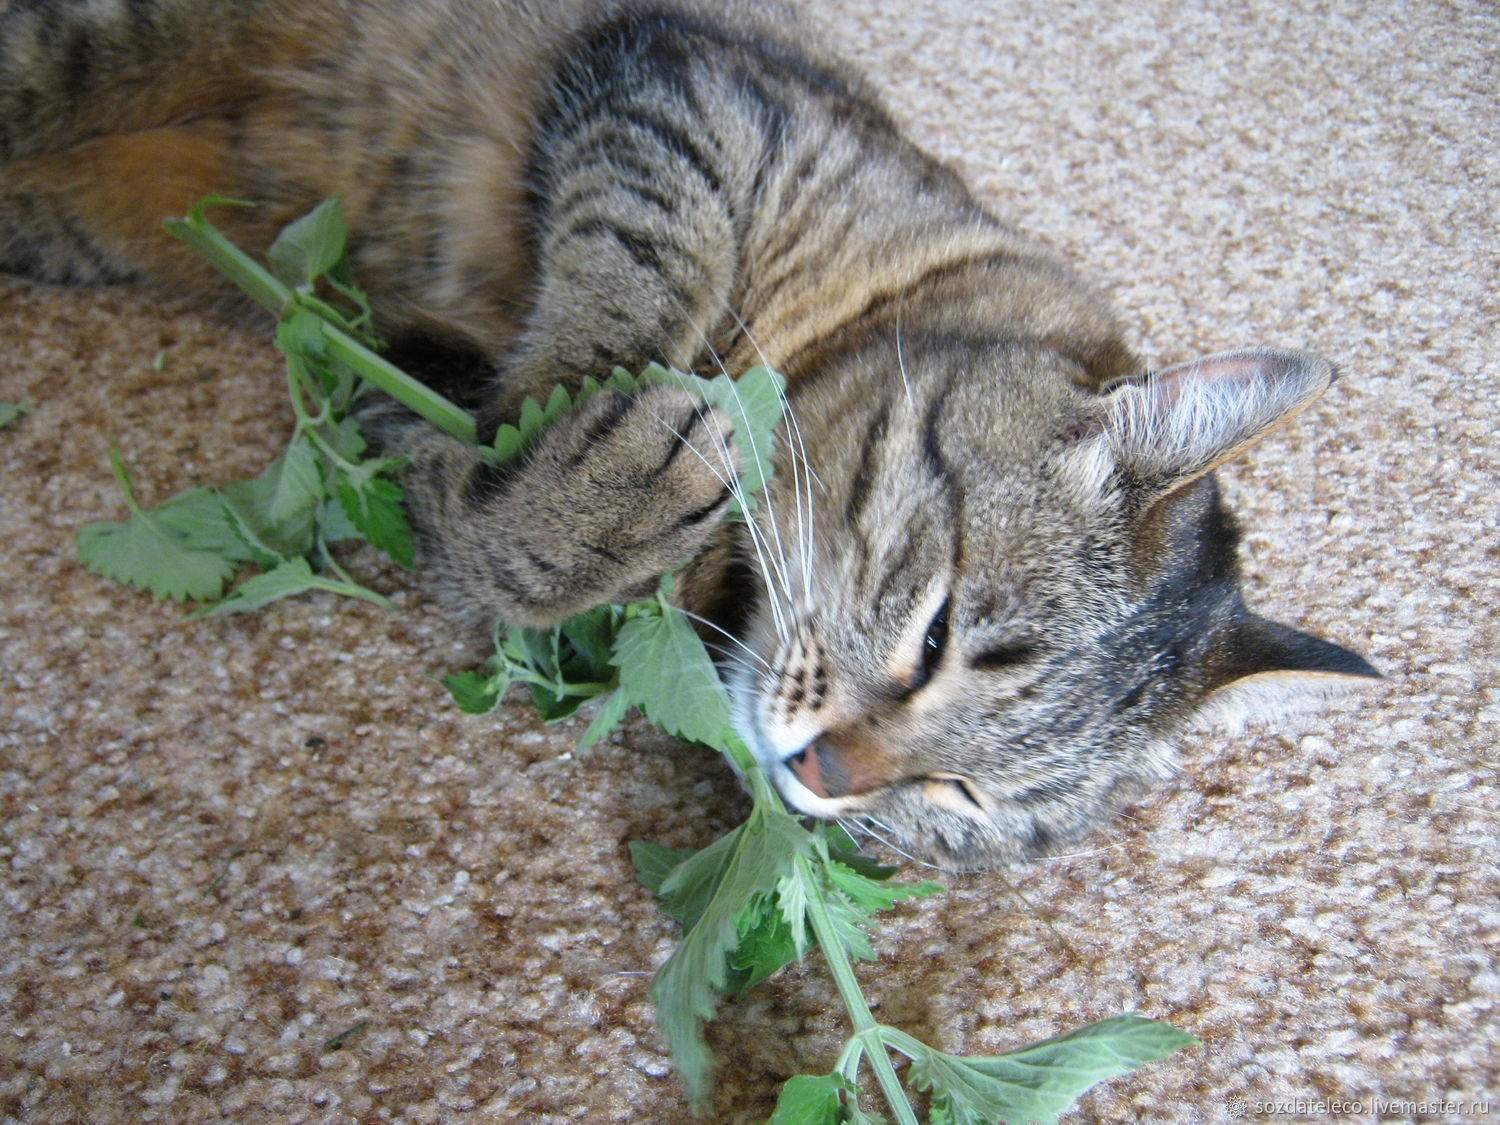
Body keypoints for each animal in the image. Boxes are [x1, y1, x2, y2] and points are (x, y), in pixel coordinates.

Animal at [0, 0, 1374, 870]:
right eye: (937, 638)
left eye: (964, 797)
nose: (828, 778)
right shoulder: (686, 88)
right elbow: (648, 266)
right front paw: (597, 425)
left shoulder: (369, 359)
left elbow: (454, 499)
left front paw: (550, 506)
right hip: (92, 52)